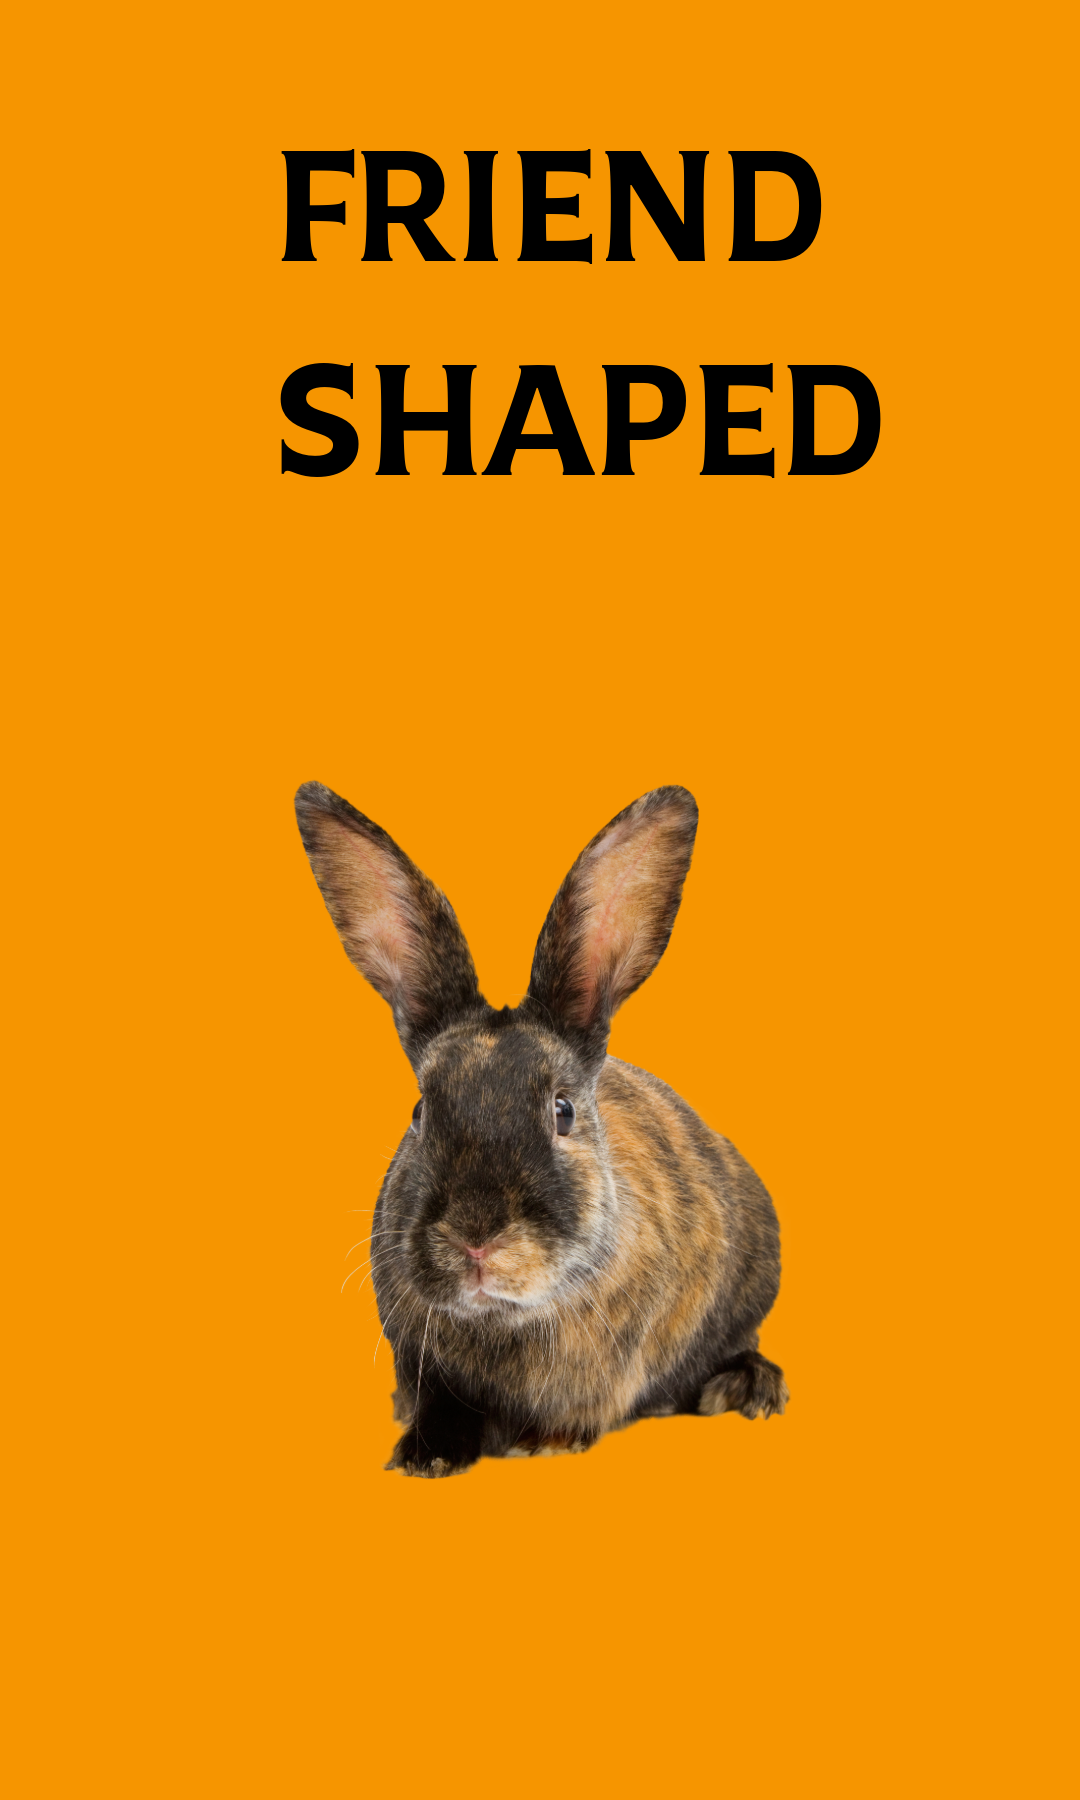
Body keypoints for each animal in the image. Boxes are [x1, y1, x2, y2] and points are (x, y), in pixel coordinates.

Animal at [295, 781, 786, 1478]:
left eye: (563, 1110)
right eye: (420, 1112)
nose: (476, 1240)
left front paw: (541, 1442)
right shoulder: (422, 1363)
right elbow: (438, 1405)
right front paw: (423, 1456)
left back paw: (745, 1387)